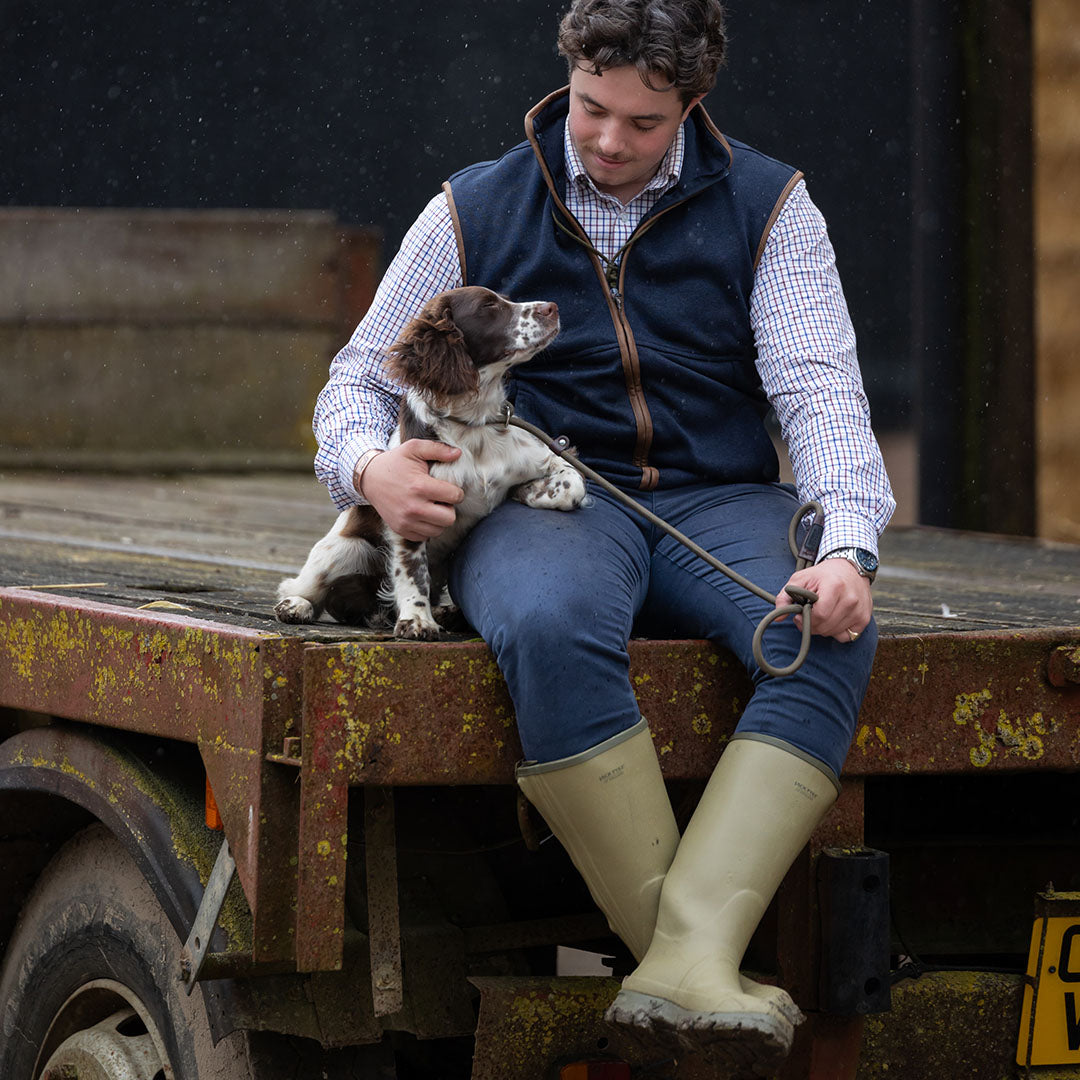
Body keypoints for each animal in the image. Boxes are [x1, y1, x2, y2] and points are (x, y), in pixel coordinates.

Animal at [274, 287, 587, 639]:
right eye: (489, 306)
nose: (553, 307)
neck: (473, 423)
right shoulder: (408, 502)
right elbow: (412, 570)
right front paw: (416, 619)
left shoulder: (547, 456)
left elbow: (572, 483)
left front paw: (525, 491)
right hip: (343, 548)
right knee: (304, 585)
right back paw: (296, 605)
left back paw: (445, 611)